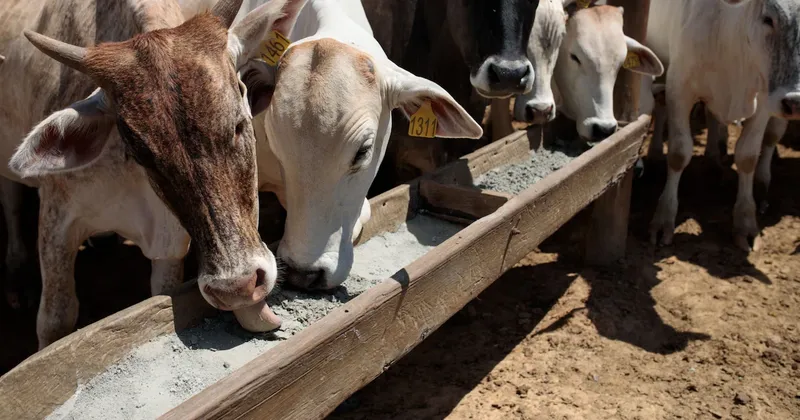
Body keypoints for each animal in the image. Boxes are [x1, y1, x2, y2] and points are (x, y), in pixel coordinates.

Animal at [0, 0, 306, 348]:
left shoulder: (168, 243)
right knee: (11, 203)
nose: (237, 287)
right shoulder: (57, 223)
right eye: (142, 152)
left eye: (240, 123)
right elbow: (55, 322)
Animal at [646, 0, 800, 251]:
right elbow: (678, 154)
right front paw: (663, 219)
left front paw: (746, 223)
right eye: (768, 18)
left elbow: (747, 157)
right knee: (659, 108)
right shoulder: (679, 88)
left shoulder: (764, 101)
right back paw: (655, 154)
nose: (795, 102)